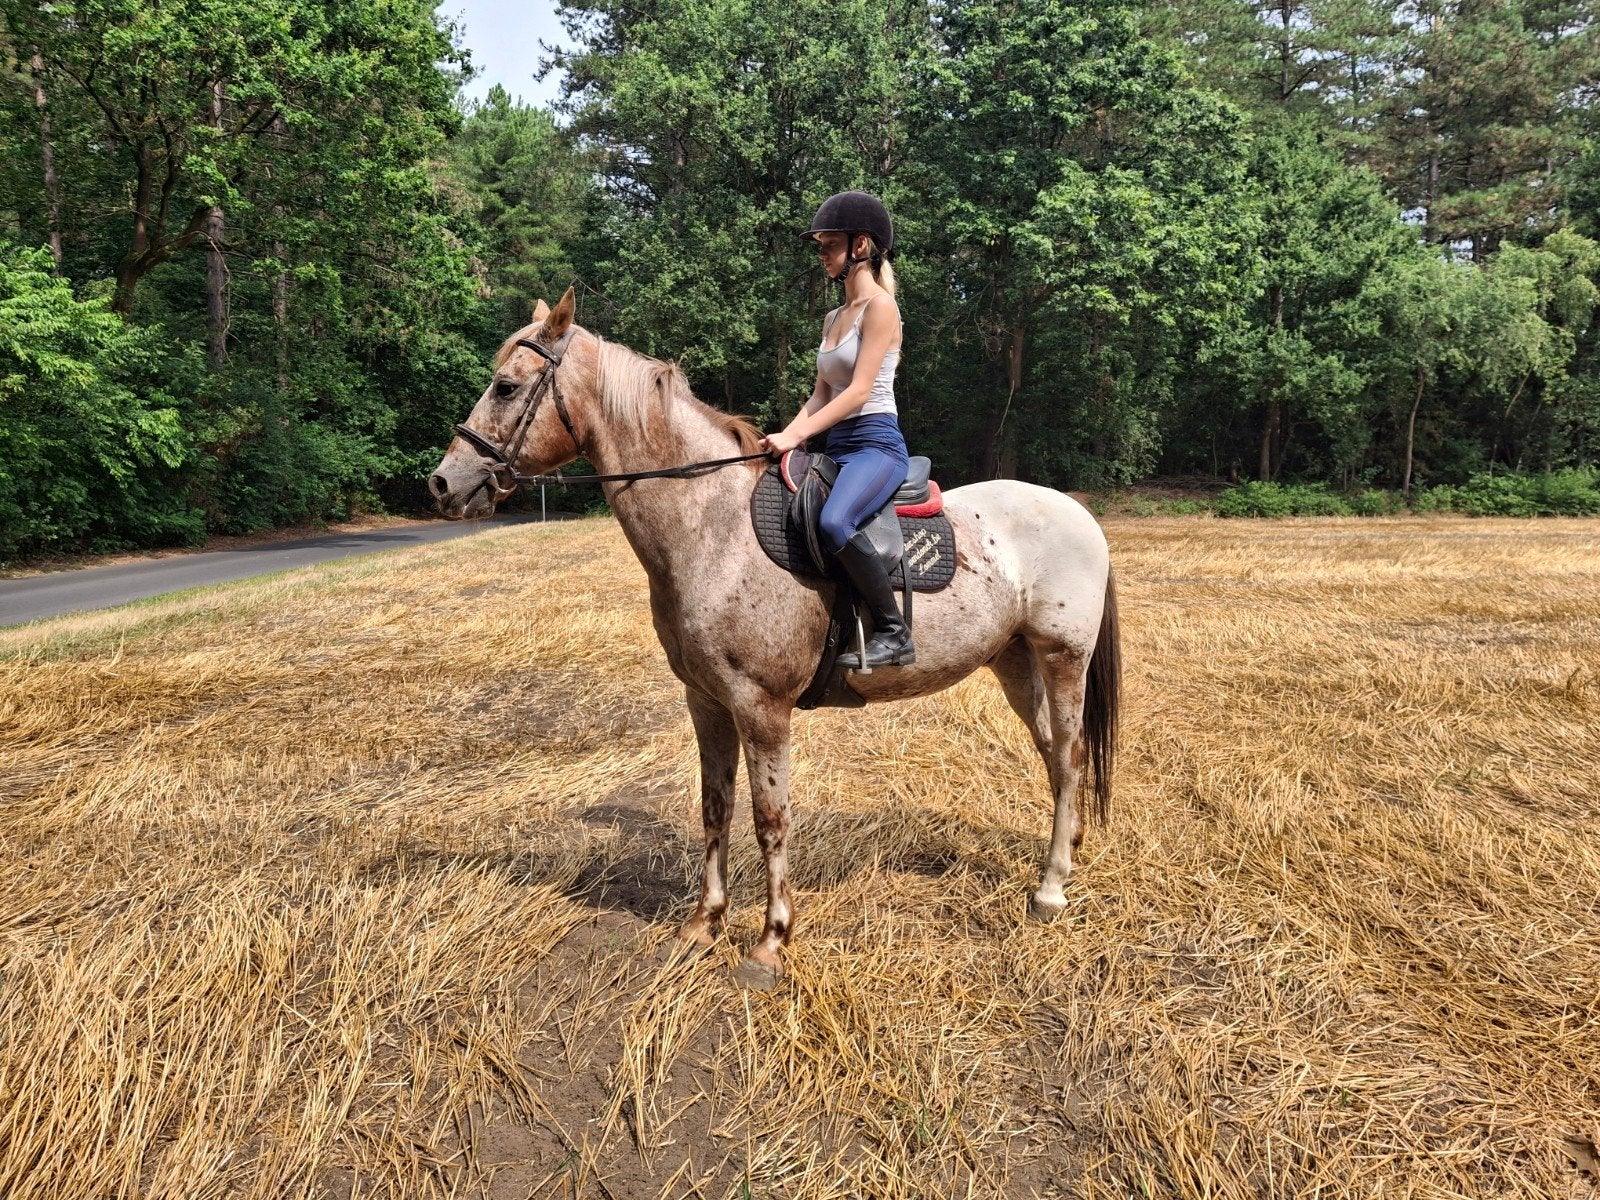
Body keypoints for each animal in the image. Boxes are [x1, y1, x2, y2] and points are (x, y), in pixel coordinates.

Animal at [428, 288, 1120, 989]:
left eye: (506, 385)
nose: (443, 484)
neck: (713, 527)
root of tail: (1078, 512)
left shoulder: (761, 707)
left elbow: (769, 819)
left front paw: (769, 941)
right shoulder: (707, 702)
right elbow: (715, 807)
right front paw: (703, 925)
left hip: (1063, 657)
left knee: (1068, 758)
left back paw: (1050, 890)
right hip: (1015, 662)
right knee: (1055, 755)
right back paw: (1068, 852)